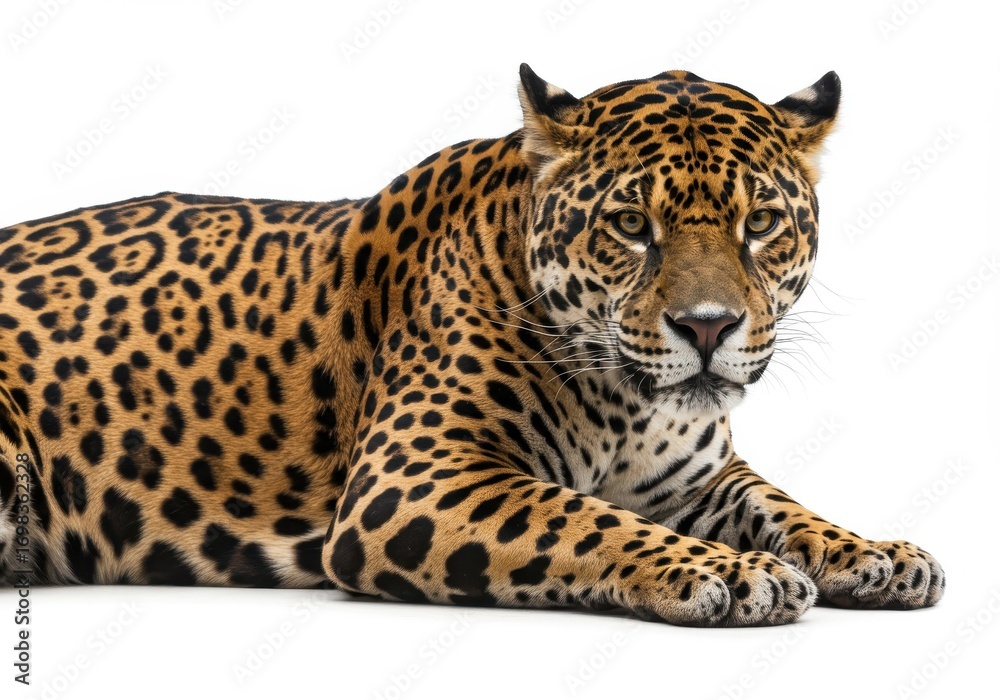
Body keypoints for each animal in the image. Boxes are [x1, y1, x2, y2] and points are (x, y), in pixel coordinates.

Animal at [0, 65, 944, 626]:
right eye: (631, 226)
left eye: (762, 225)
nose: (708, 327)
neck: (630, 404)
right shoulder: (415, 478)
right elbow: (581, 517)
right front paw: (740, 574)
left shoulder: (697, 477)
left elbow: (782, 506)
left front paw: (875, 555)